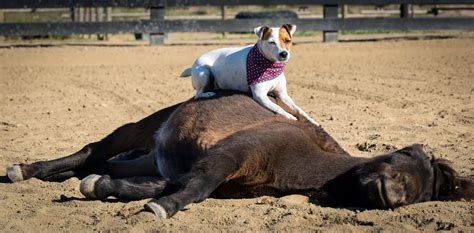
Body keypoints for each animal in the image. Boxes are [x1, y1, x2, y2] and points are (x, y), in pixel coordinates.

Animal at [5, 91, 472, 218]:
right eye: (403, 157)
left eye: (422, 193)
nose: (393, 194)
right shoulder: (228, 158)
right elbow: (192, 189)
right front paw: (163, 209)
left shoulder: (208, 175)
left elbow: (149, 187)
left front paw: (103, 189)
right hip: (140, 128)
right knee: (92, 149)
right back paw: (25, 170)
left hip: (150, 154)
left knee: (100, 162)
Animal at [181, 23, 318, 125]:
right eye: (271, 42)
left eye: (287, 40)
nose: (284, 54)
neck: (270, 66)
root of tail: (193, 65)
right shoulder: (260, 96)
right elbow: (279, 108)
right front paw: (291, 117)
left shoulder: (283, 95)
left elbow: (299, 110)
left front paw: (312, 120)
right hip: (204, 72)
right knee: (198, 95)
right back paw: (208, 93)